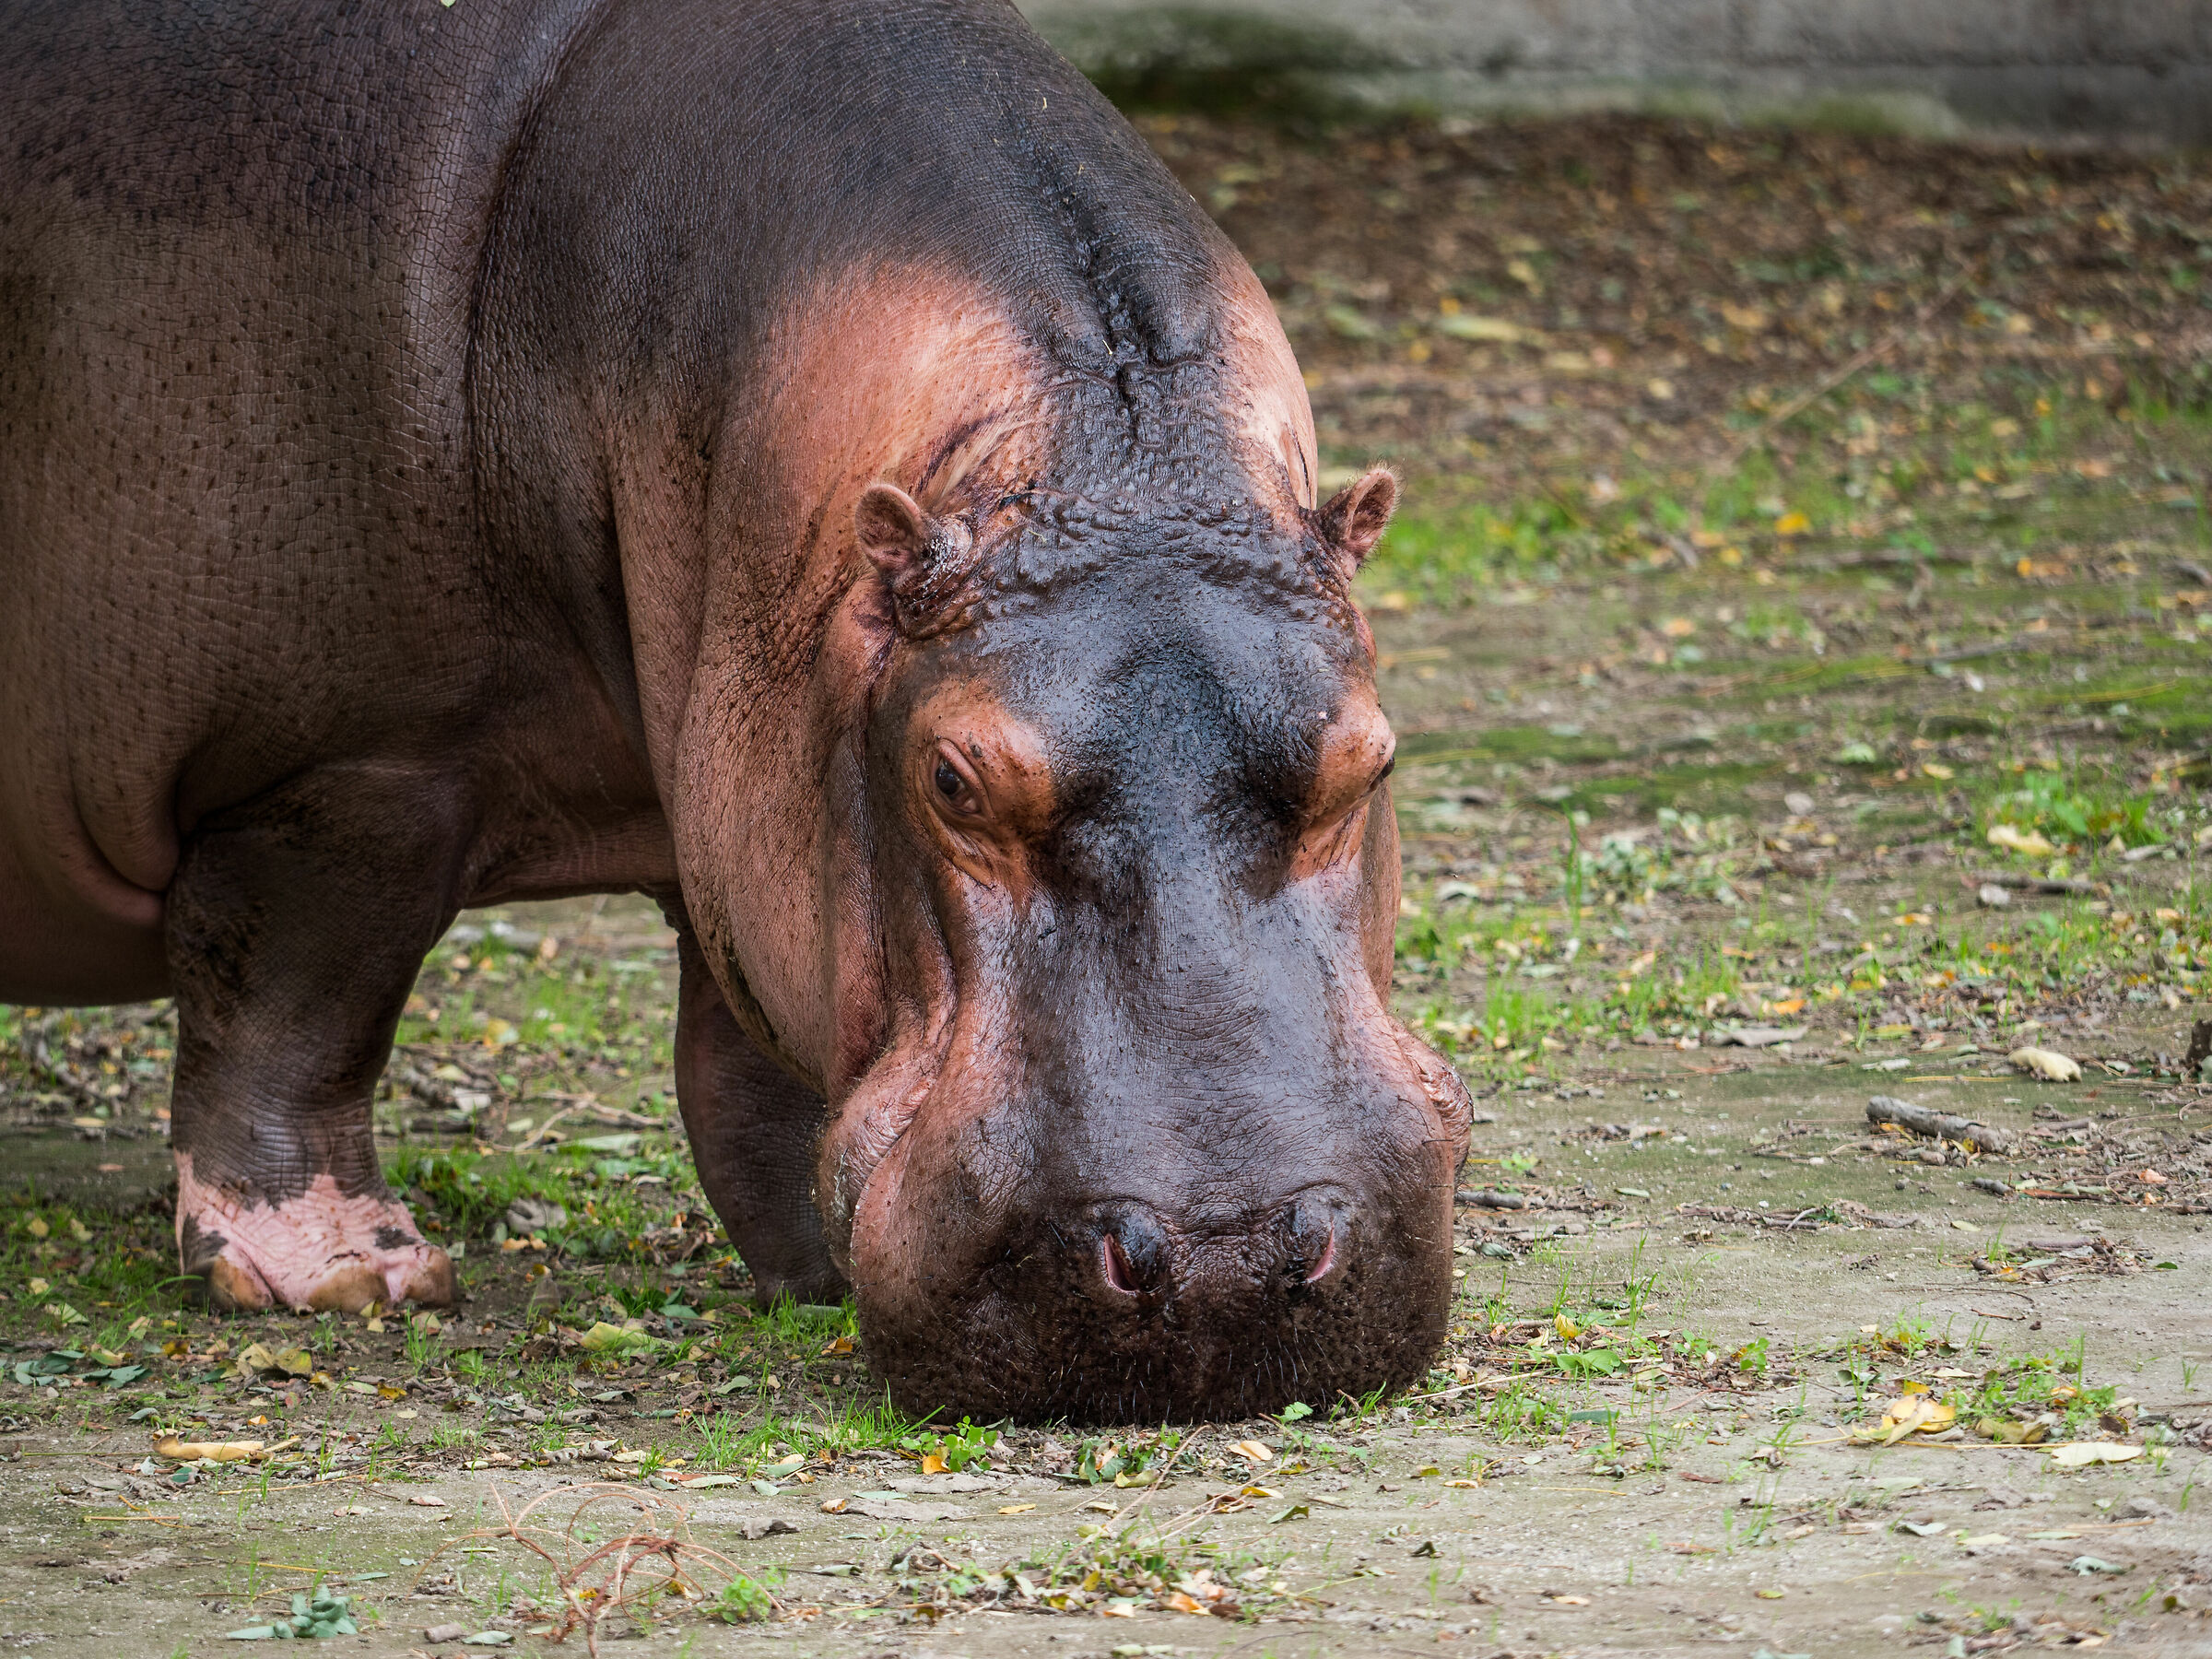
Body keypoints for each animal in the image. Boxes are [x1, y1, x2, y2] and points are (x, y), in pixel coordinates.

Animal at [0, 0, 1474, 1420]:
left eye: (1374, 761)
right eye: (952, 782)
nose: (1225, 1260)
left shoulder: (745, 792)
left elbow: (747, 1056)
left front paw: (811, 1271)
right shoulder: (350, 766)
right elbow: (300, 995)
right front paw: (350, 1281)